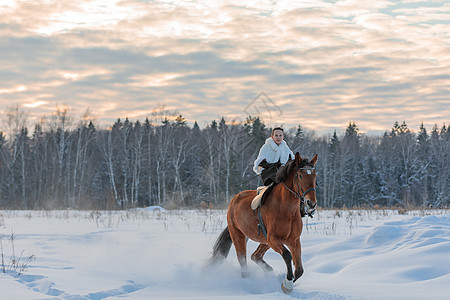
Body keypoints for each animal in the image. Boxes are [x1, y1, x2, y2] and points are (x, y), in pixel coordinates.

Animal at [210, 152, 318, 292]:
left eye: (315, 176)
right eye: (300, 175)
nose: (311, 203)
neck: (286, 209)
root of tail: (234, 200)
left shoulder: (293, 240)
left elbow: (299, 270)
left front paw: (284, 282)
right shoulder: (273, 239)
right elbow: (287, 255)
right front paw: (287, 284)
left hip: (263, 240)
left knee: (256, 256)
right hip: (239, 235)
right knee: (243, 260)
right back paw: (247, 283)